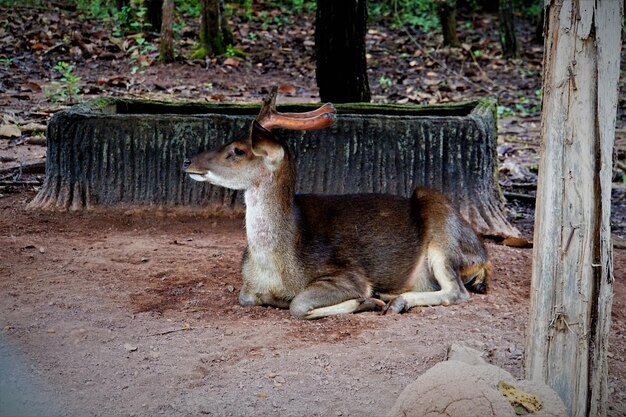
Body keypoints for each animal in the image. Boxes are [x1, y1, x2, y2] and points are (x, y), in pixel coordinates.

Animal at [183, 88, 490, 318]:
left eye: (237, 150)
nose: (188, 160)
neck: (277, 266)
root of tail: (482, 258)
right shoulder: (248, 287)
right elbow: (246, 297)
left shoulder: (347, 273)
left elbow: (298, 305)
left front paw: (368, 300)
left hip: (443, 230)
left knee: (457, 291)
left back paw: (396, 301)